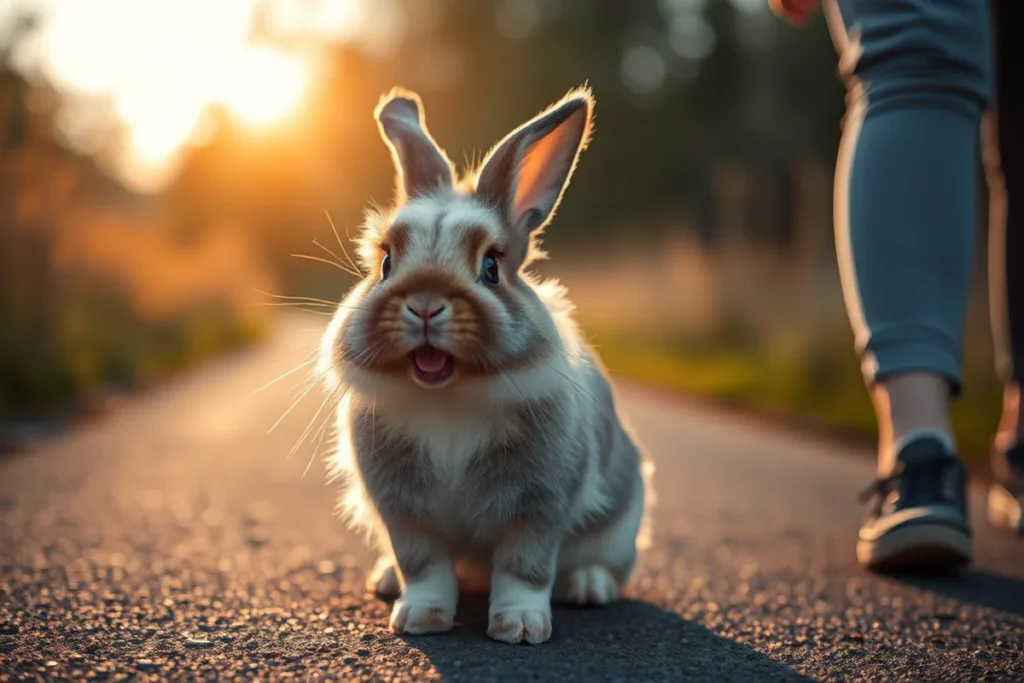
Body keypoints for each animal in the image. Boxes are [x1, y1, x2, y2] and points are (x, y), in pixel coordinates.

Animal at [317, 84, 654, 645]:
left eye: (491, 267)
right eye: (386, 263)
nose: (425, 302)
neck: (449, 397)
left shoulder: (536, 509)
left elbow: (524, 570)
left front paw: (520, 629)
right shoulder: (406, 515)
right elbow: (425, 568)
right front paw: (419, 619)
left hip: (619, 528)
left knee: (603, 565)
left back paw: (587, 586)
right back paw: (385, 580)